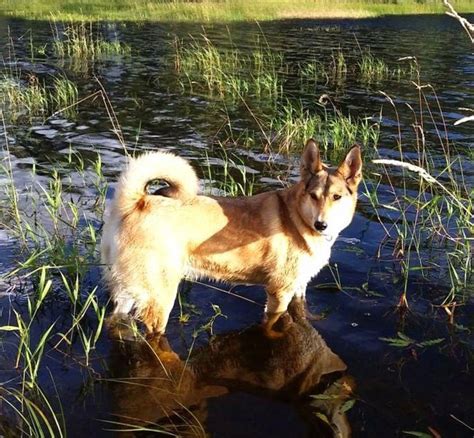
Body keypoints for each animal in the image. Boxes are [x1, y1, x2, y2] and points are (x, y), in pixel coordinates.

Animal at [101, 140, 362, 336]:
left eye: (337, 197)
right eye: (314, 196)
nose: (321, 224)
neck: (297, 217)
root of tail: (137, 203)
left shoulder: (299, 287)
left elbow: (303, 310)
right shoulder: (279, 292)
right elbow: (271, 323)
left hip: (127, 290)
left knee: (116, 319)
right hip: (160, 299)